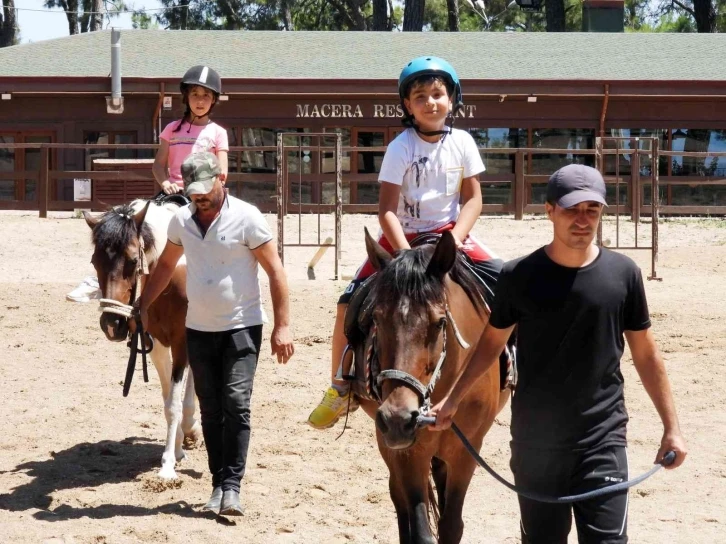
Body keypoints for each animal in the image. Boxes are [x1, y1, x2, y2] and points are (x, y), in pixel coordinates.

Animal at [84, 201, 203, 480]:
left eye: (131, 260)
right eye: (95, 261)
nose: (112, 324)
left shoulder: (181, 342)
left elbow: (174, 403)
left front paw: (168, 464)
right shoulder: (156, 344)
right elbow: (168, 398)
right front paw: (177, 449)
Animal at [350, 230, 510, 544]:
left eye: (439, 323)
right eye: (376, 318)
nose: (398, 417)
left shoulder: (467, 450)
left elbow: (451, 524)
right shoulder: (408, 451)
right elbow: (419, 527)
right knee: (399, 499)